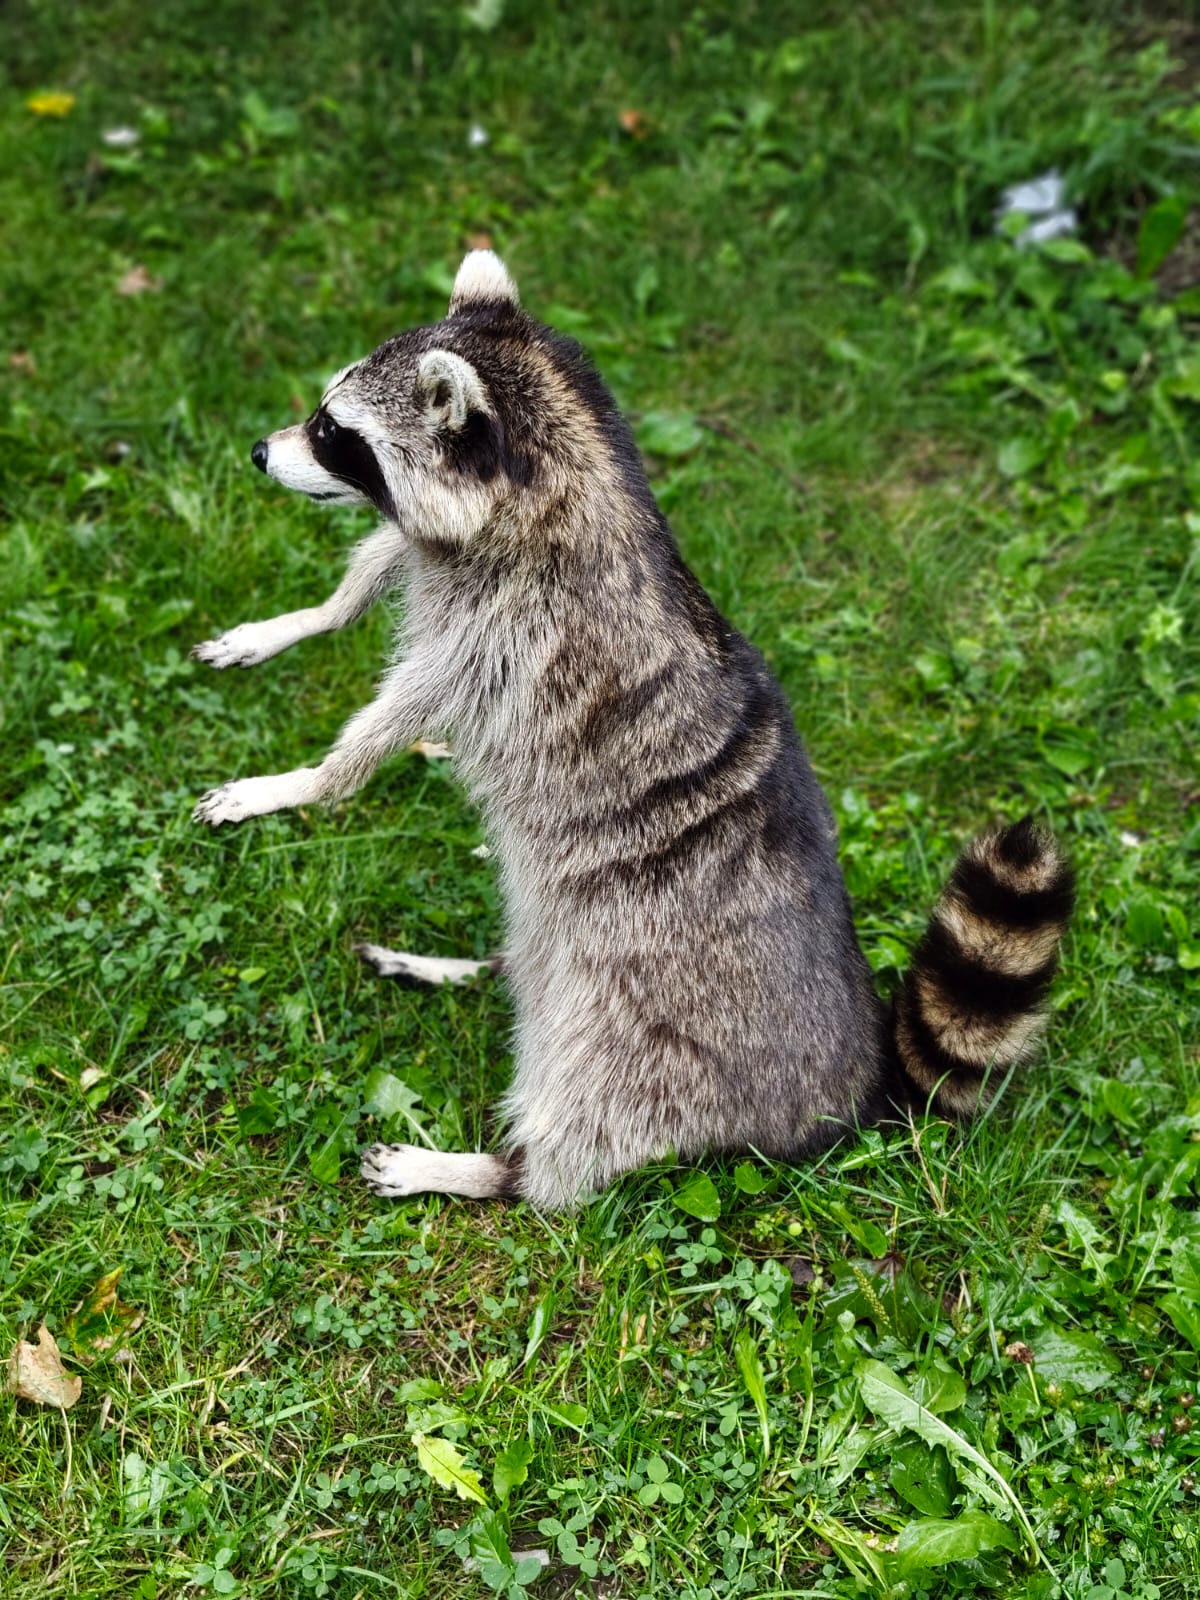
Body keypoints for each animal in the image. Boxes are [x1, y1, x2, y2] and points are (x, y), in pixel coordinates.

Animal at [192, 250, 1074, 1211]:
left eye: (332, 432)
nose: (259, 452)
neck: (569, 472)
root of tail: (852, 1085)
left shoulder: (513, 630)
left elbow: (389, 721)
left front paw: (296, 784)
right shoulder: (457, 567)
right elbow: (376, 569)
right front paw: (293, 623)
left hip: (655, 1010)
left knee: (592, 1106)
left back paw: (489, 1168)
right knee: (529, 959)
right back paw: (466, 970)